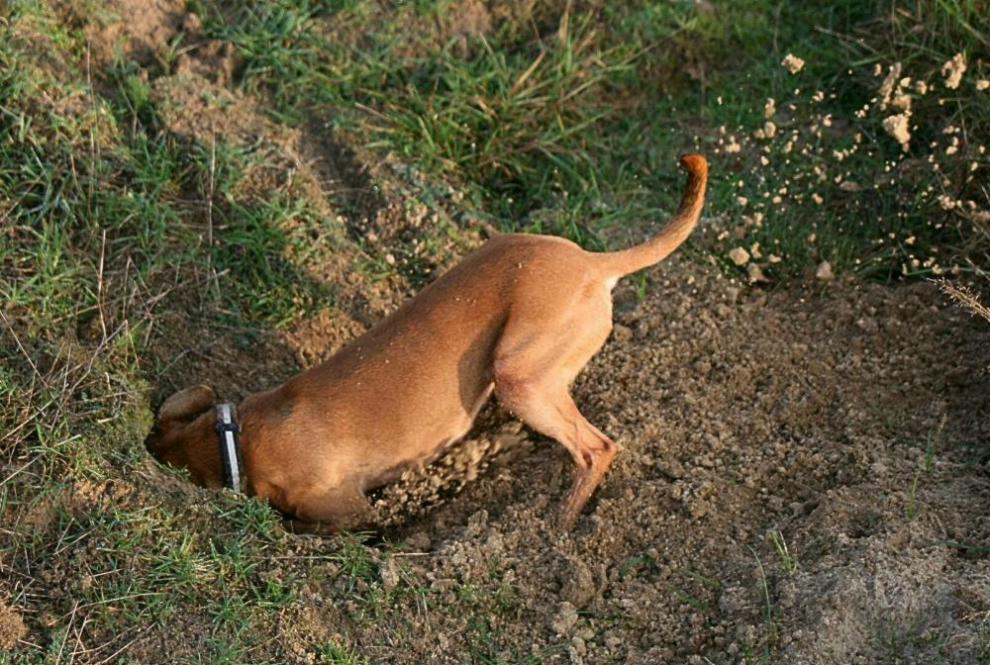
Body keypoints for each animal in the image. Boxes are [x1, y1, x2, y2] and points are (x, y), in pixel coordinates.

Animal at [145, 153, 704, 532]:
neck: (238, 439)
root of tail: (593, 263)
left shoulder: (346, 509)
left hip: (519, 377)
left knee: (596, 448)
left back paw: (557, 526)